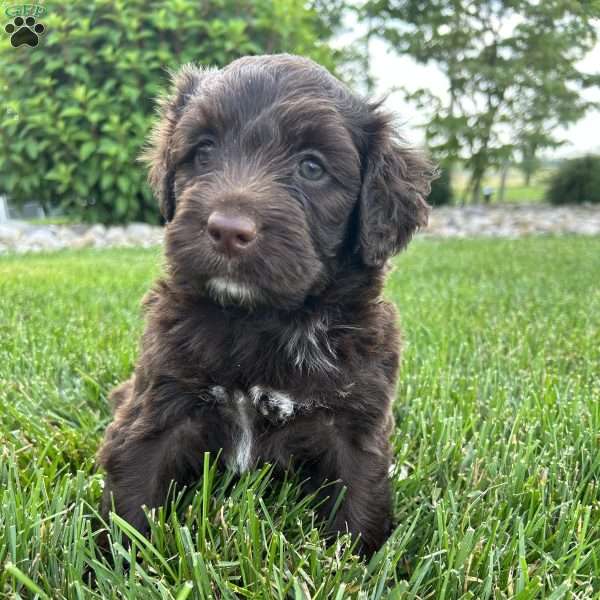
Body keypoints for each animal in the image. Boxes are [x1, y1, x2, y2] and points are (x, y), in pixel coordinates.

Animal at [98, 54, 432, 556]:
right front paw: (112, 563)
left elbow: (360, 500)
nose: (227, 230)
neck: (259, 319)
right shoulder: (158, 402)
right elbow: (132, 489)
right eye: (203, 152)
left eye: (311, 168)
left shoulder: (356, 421)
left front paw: (357, 564)